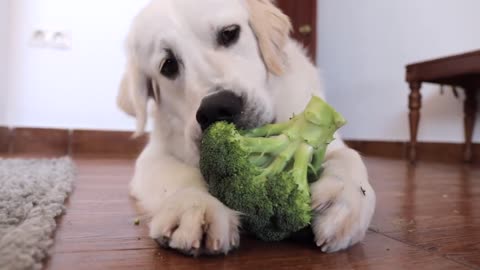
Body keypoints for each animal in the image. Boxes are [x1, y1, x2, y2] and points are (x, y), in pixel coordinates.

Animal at [116, 0, 376, 255]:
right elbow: (179, 174)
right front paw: (195, 204)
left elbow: (348, 156)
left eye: (229, 33)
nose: (217, 107)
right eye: (168, 65)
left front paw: (345, 198)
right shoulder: (153, 156)